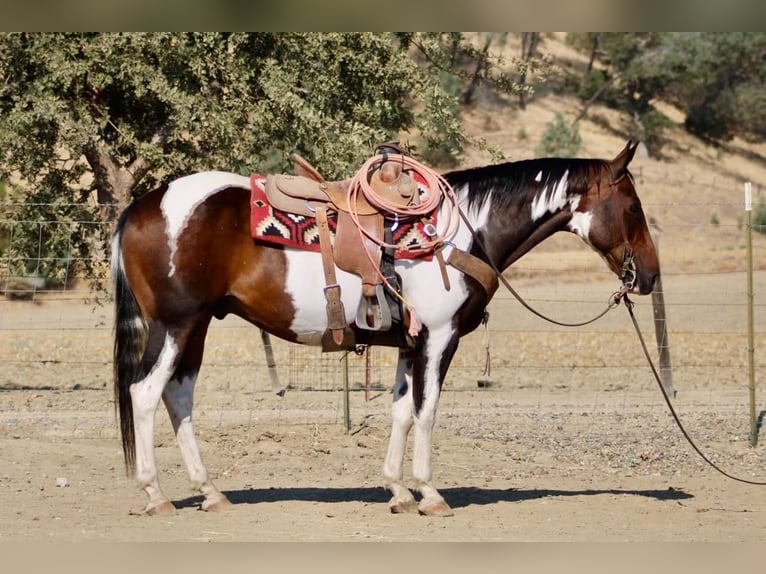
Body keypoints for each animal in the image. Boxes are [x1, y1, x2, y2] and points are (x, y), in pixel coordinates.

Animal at [111, 140, 659, 517]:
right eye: (634, 208)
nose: (650, 276)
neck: (463, 231)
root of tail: (143, 205)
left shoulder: (408, 343)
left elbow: (400, 411)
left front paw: (397, 490)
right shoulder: (439, 337)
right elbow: (426, 411)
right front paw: (430, 493)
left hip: (197, 325)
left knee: (178, 396)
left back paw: (210, 492)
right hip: (175, 324)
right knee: (145, 393)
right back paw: (156, 495)